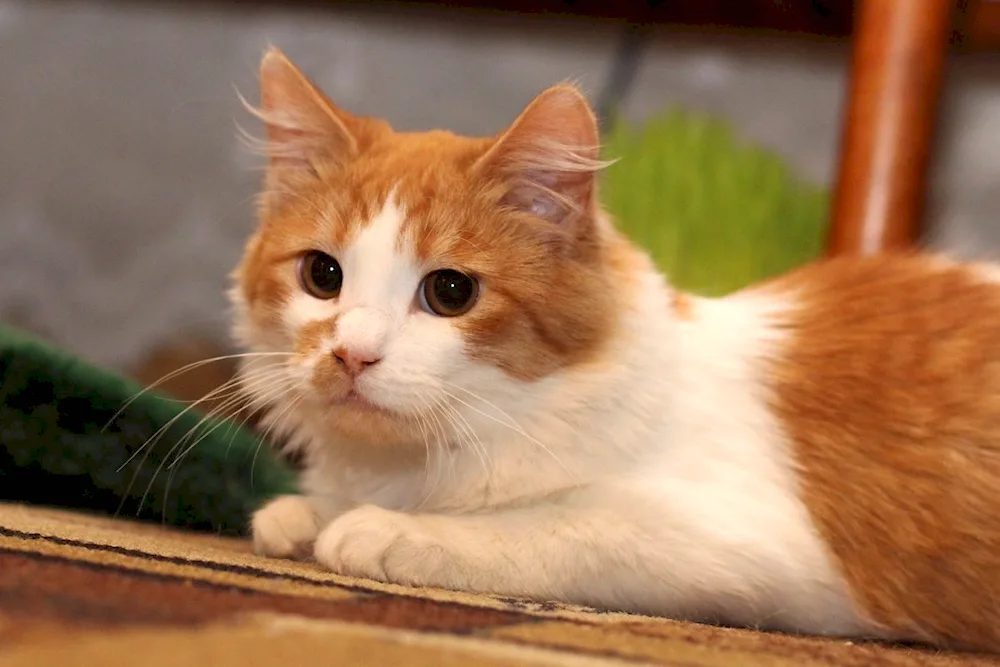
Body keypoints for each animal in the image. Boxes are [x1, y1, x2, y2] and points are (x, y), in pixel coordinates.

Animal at [230, 49, 1000, 656]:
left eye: (450, 291)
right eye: (322, 275)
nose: (351, 355)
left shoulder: (751, 545)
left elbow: (552, 527)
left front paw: (385, 529)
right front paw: (307, 512)